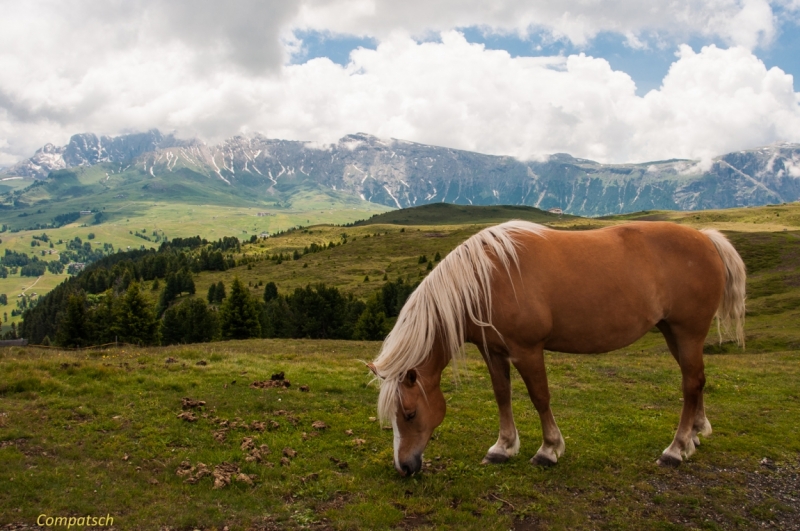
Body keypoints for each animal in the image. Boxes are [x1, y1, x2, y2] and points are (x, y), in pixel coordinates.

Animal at [368, 220, 744, 478]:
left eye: (410, 413)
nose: (404, 466)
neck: (487, 280)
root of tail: (706, 238)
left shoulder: (527, 350)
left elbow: (540, 397)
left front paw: (548, 450)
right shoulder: (494, 352)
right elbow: (502, 394)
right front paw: (503, 447)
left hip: (688, 332)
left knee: (690, 384)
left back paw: (676, 449)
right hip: (673, 333)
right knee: (697, 382)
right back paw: (695, 434)